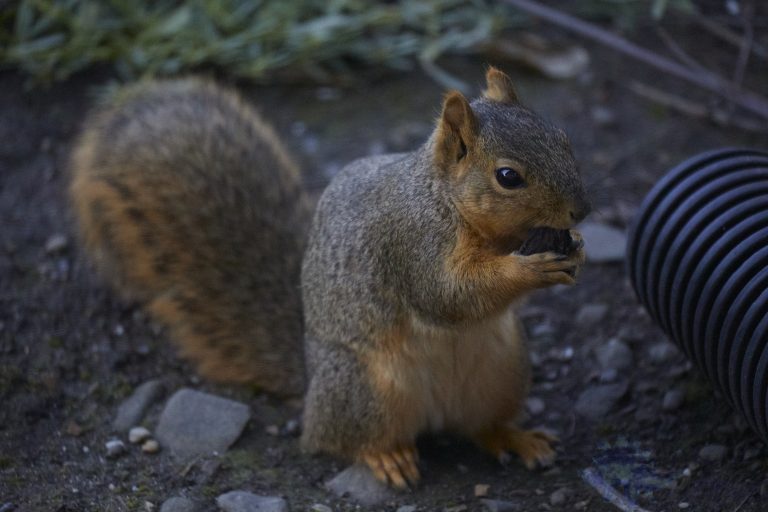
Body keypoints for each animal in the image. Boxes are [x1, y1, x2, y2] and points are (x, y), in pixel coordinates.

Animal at [69, 68, 590, 488]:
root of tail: (311, 388)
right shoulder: (410, 244)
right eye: (508, 176)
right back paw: (386, 457)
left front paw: (577, 248)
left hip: (503, 373)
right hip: (365, 389)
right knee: (341, 440)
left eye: (564, 139)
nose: (581, 210)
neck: (442, 197)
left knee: (481, 426)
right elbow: (447, 295)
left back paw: (517, 438)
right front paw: (528, 267)